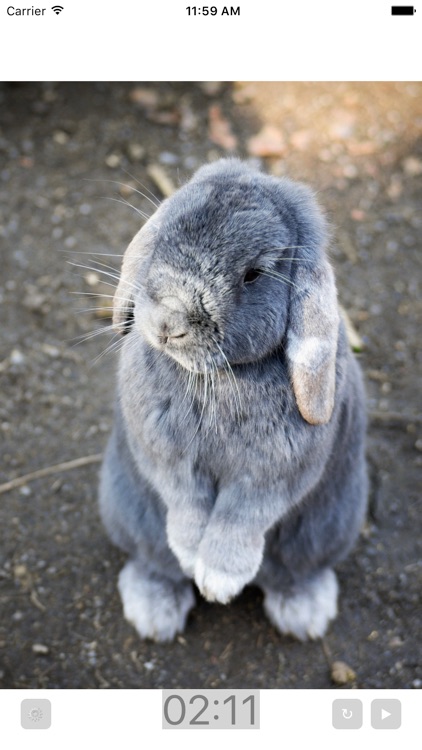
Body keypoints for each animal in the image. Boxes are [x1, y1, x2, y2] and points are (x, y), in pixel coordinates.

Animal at [98, 158, 368, 642]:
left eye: (253, 274)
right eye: (163, 236)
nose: (168, 322)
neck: (218, 377)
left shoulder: (271, 476)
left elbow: (240, 518)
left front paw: (219, 581)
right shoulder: (168, 459)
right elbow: (185, 503)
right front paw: (192, 557)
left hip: (326, 529)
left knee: (295, 573)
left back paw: (305, 615)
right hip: (128, 513)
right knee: (154, 562)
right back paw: (154, 614)